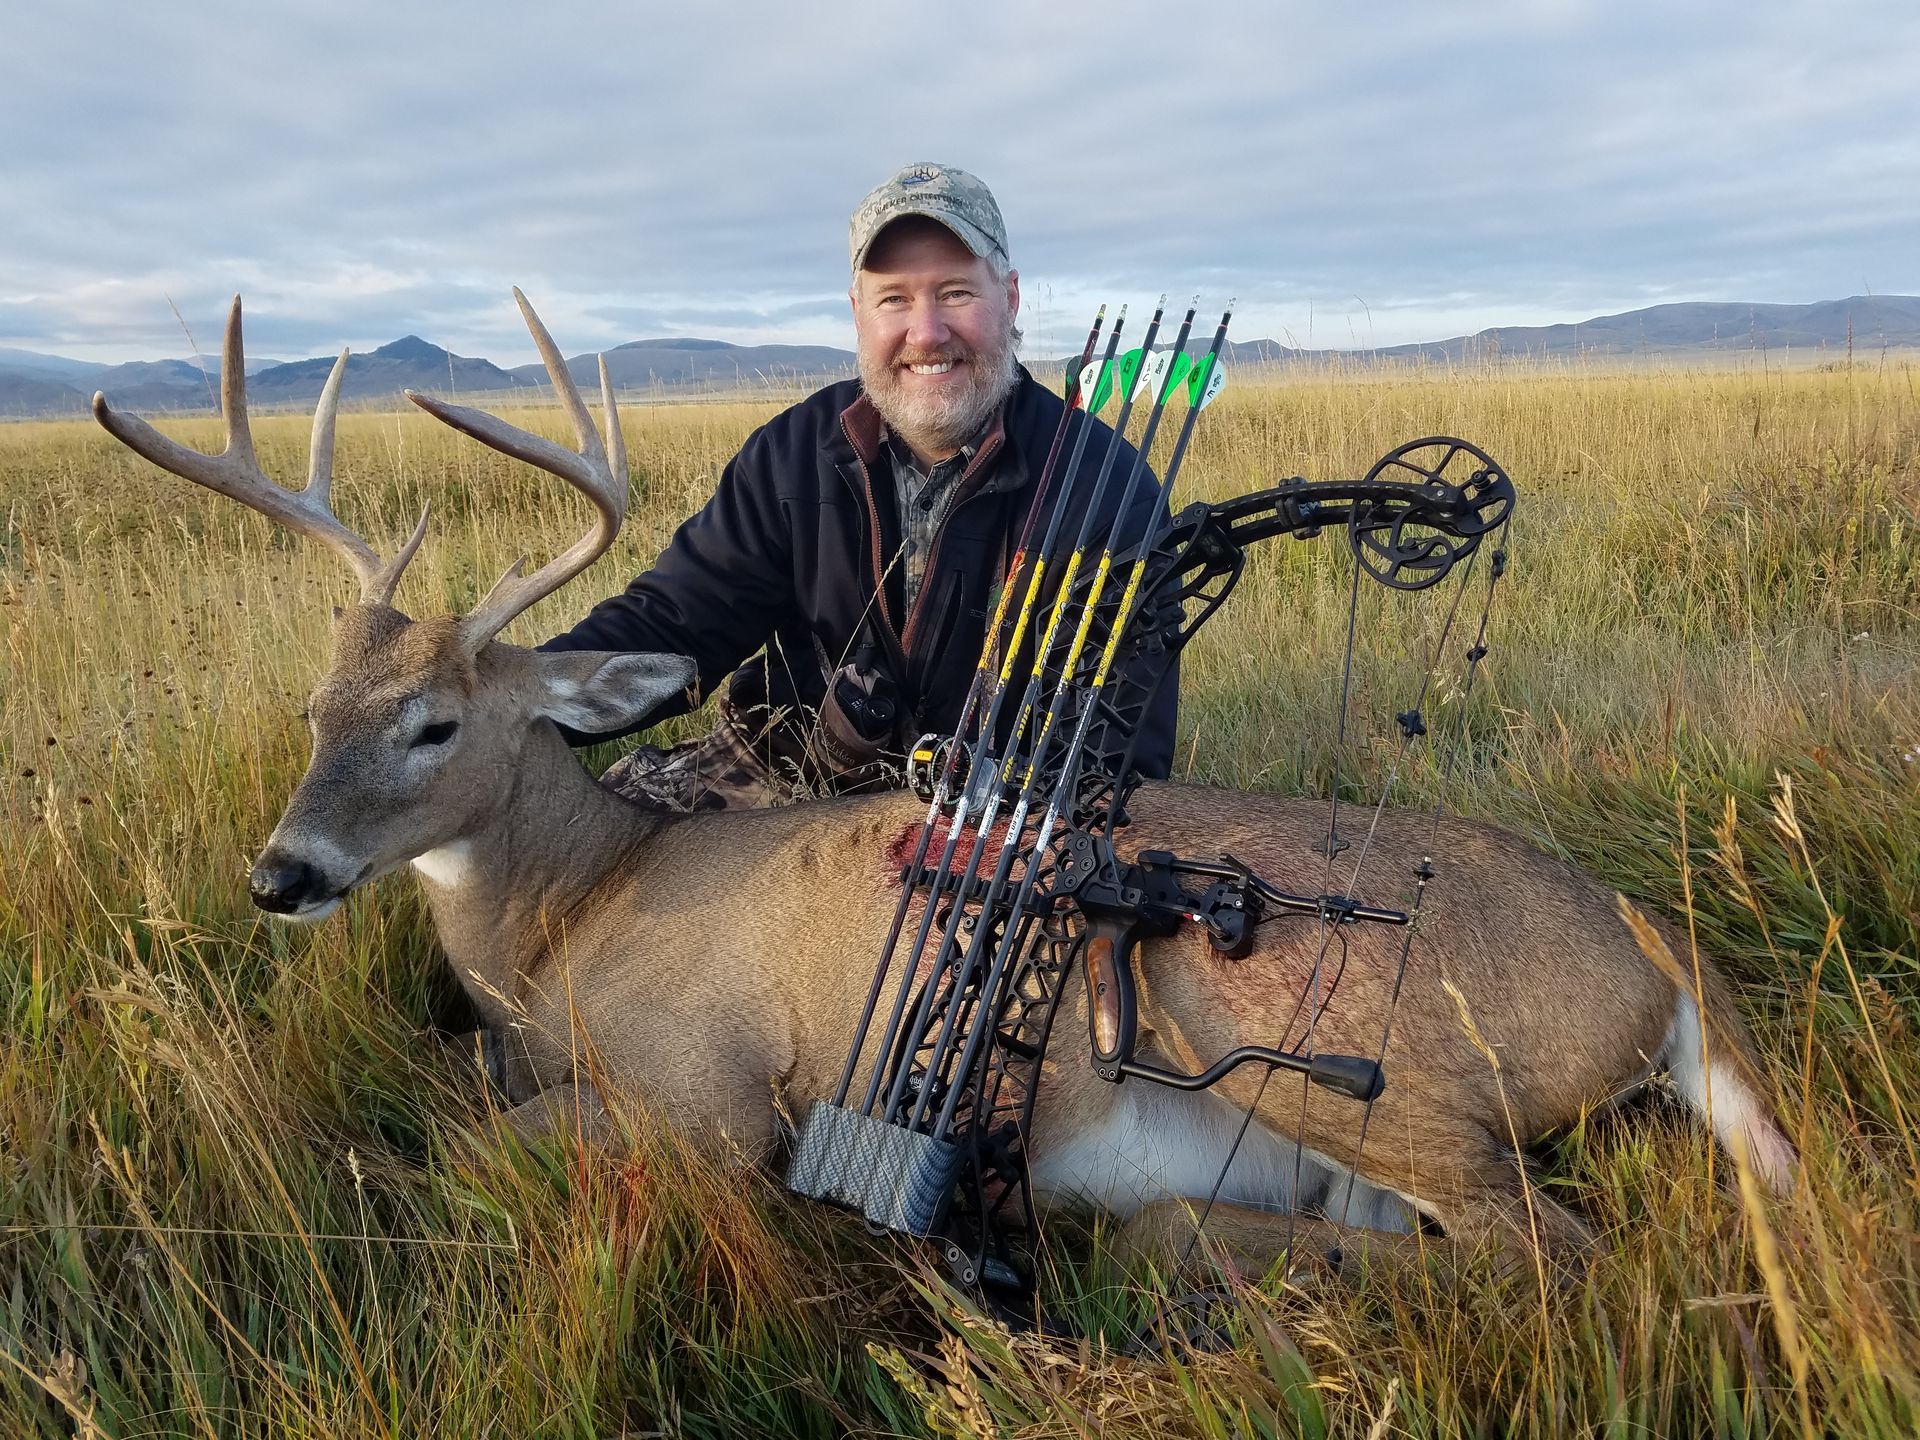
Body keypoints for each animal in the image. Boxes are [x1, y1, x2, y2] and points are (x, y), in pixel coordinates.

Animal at [93, 292, 1797, 1280]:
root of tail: (1659, 958)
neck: (576, 921)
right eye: (316, 705)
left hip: (1333, 1047)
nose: (282, 874)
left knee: (1554, 1256)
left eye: (437, 724)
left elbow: (451, 1149)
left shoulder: (717, 1100)